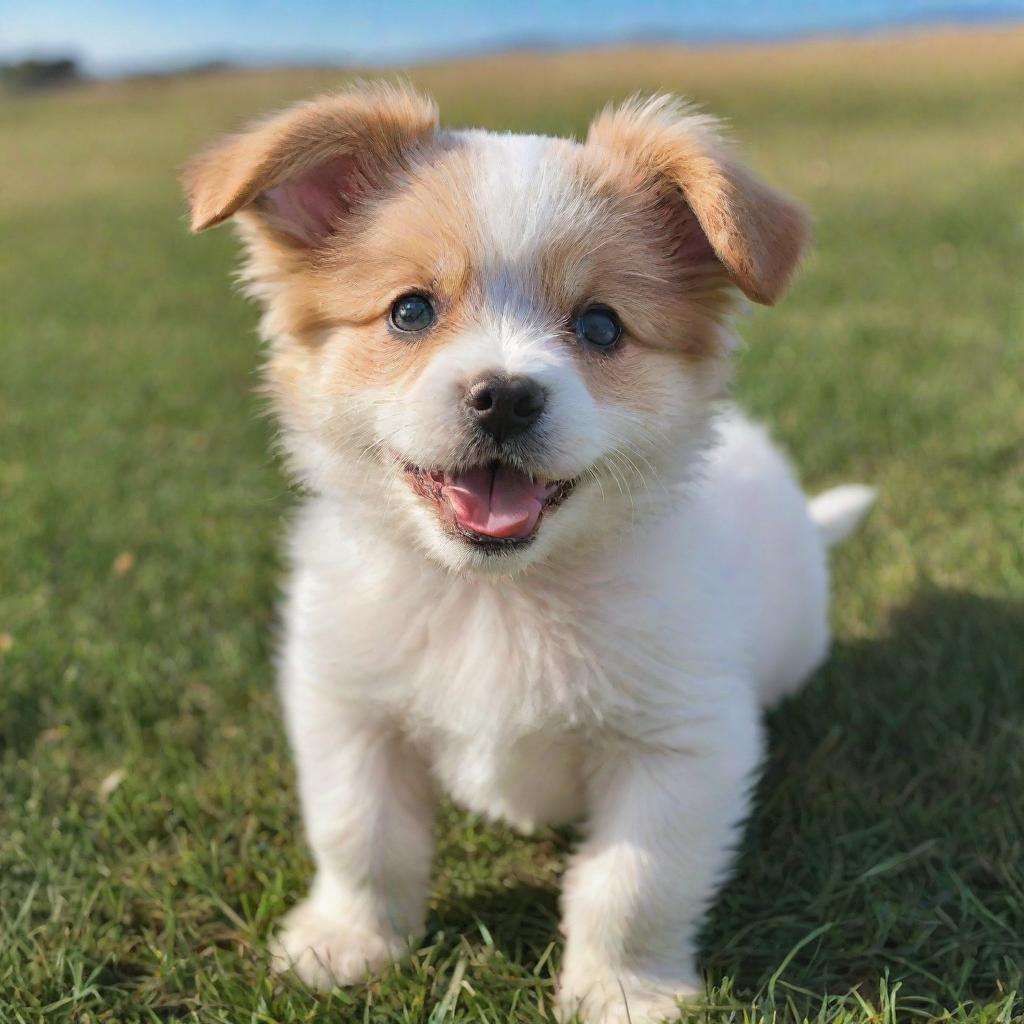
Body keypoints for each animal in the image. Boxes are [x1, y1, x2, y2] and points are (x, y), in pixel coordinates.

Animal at [182, 81, 872, 1024]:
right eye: (410, 310)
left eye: (601, 326)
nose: (504, 396)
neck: (496, 598)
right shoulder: (350, 710)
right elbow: (363, 839)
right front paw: (346, 943)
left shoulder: (677, 746)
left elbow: (632, 886)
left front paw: (623, 990)